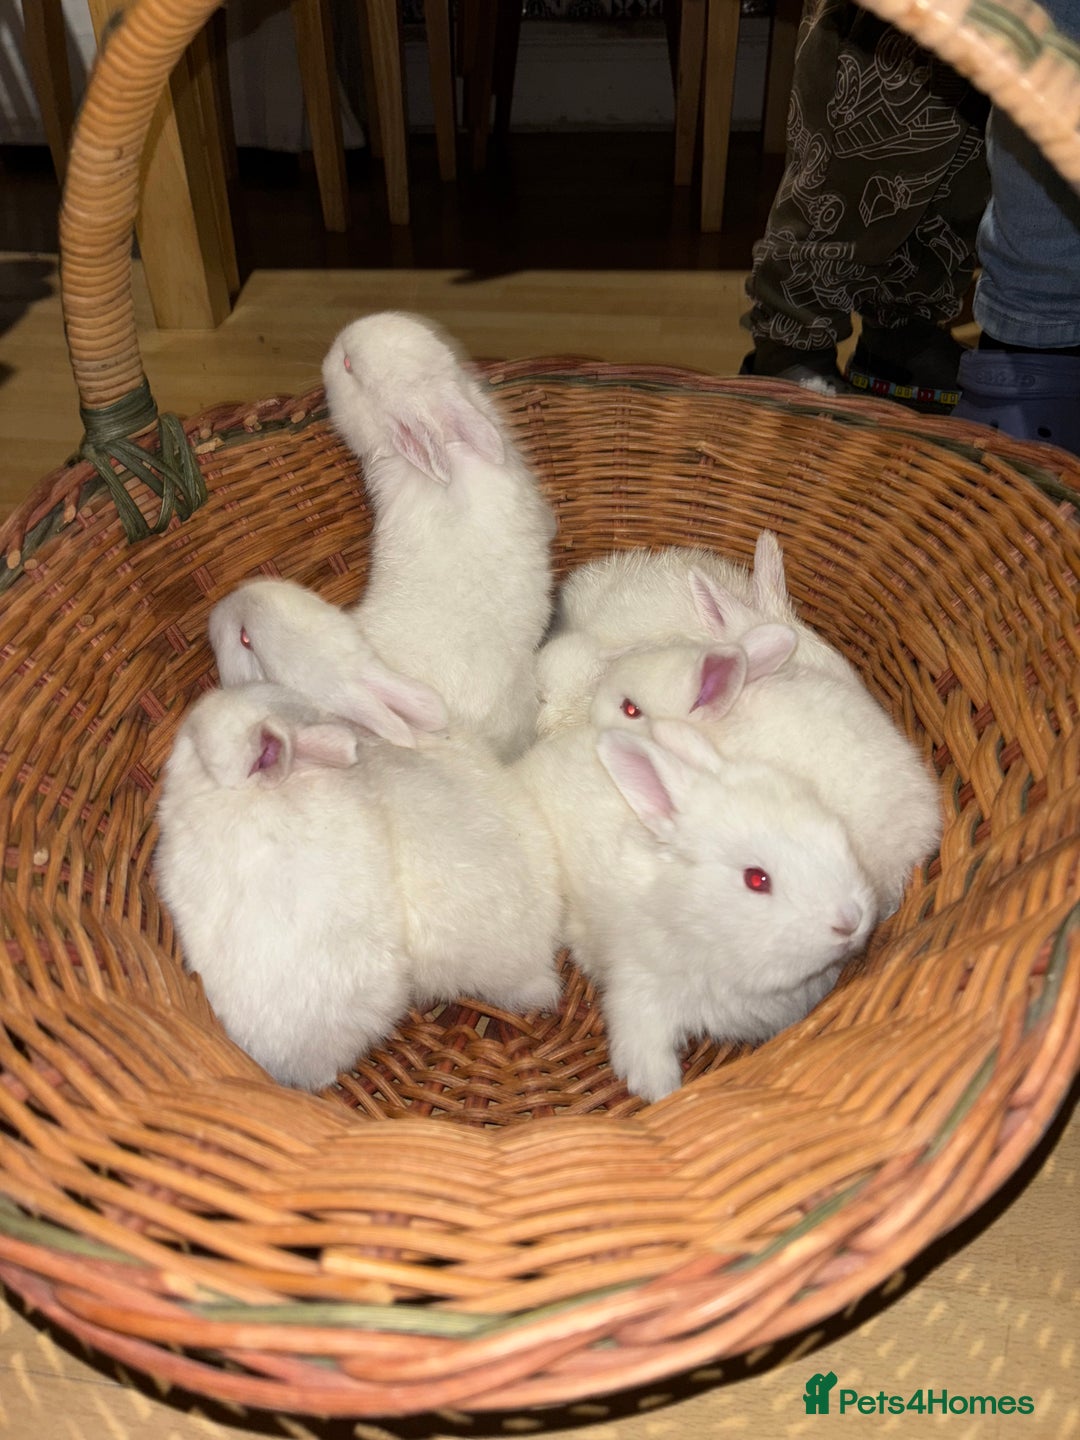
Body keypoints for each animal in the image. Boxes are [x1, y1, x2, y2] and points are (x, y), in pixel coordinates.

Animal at [516, 717, 877, 1103]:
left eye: (835, 834)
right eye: (756, 879)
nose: (849, 921)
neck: (692, 916)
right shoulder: (641, 990)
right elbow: (645, 1051)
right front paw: (661, 1093)